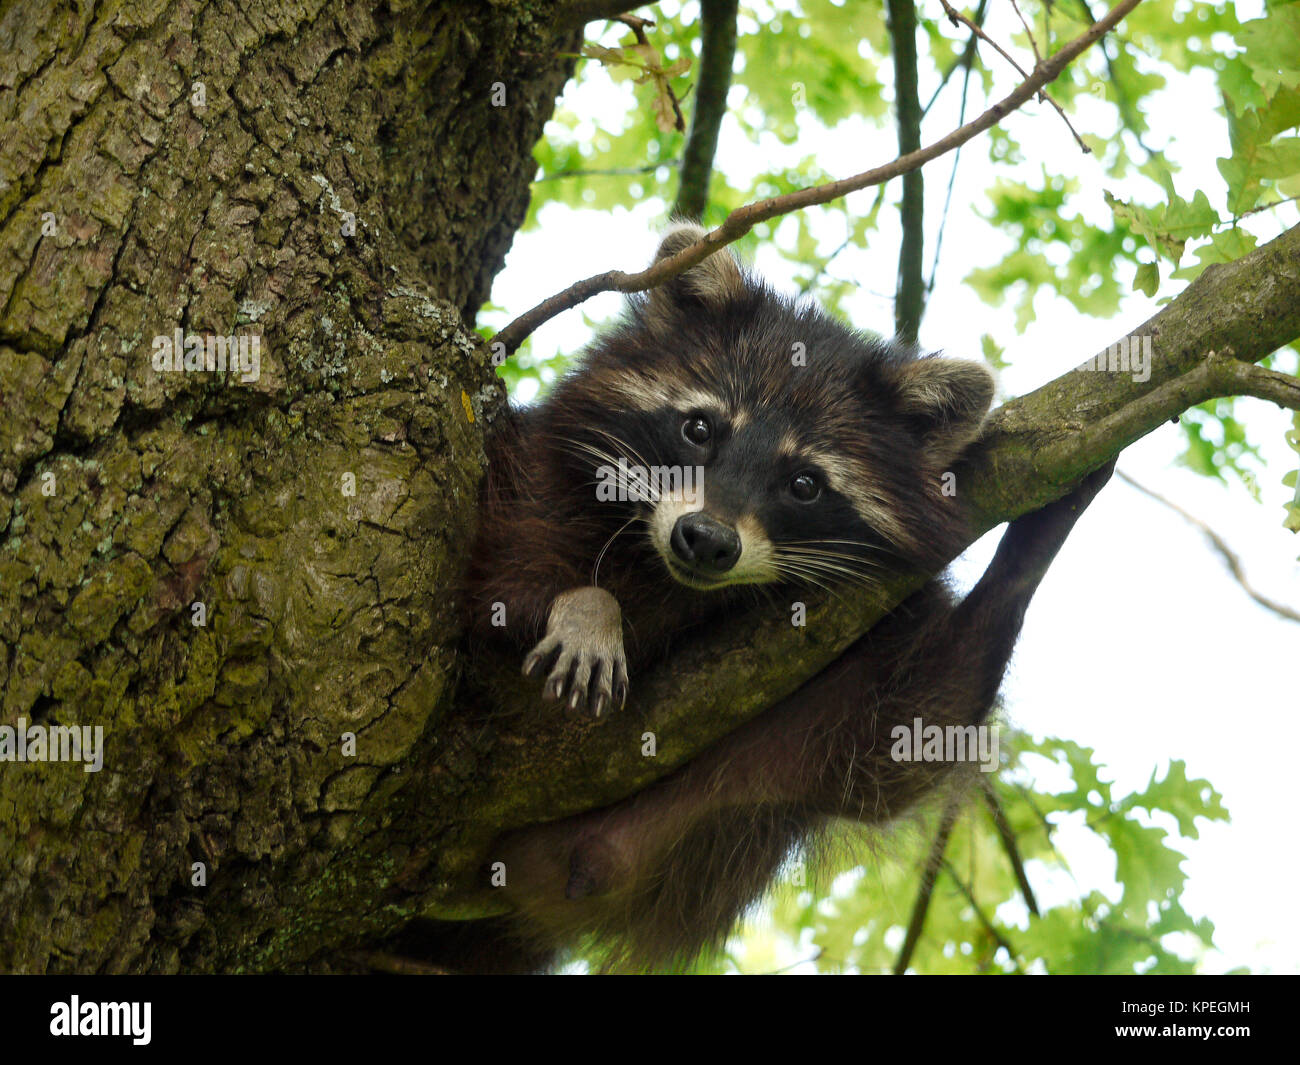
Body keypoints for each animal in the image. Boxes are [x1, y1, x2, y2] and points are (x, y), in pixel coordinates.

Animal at [447, 224, 1107, 972]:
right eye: (700, 430)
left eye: (804, 484)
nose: (705, 541)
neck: (682, 591)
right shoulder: (525, 489)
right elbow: (500, 589)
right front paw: (590, 609)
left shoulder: (853, 670)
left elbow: (906, 740)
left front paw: (1035, 539)